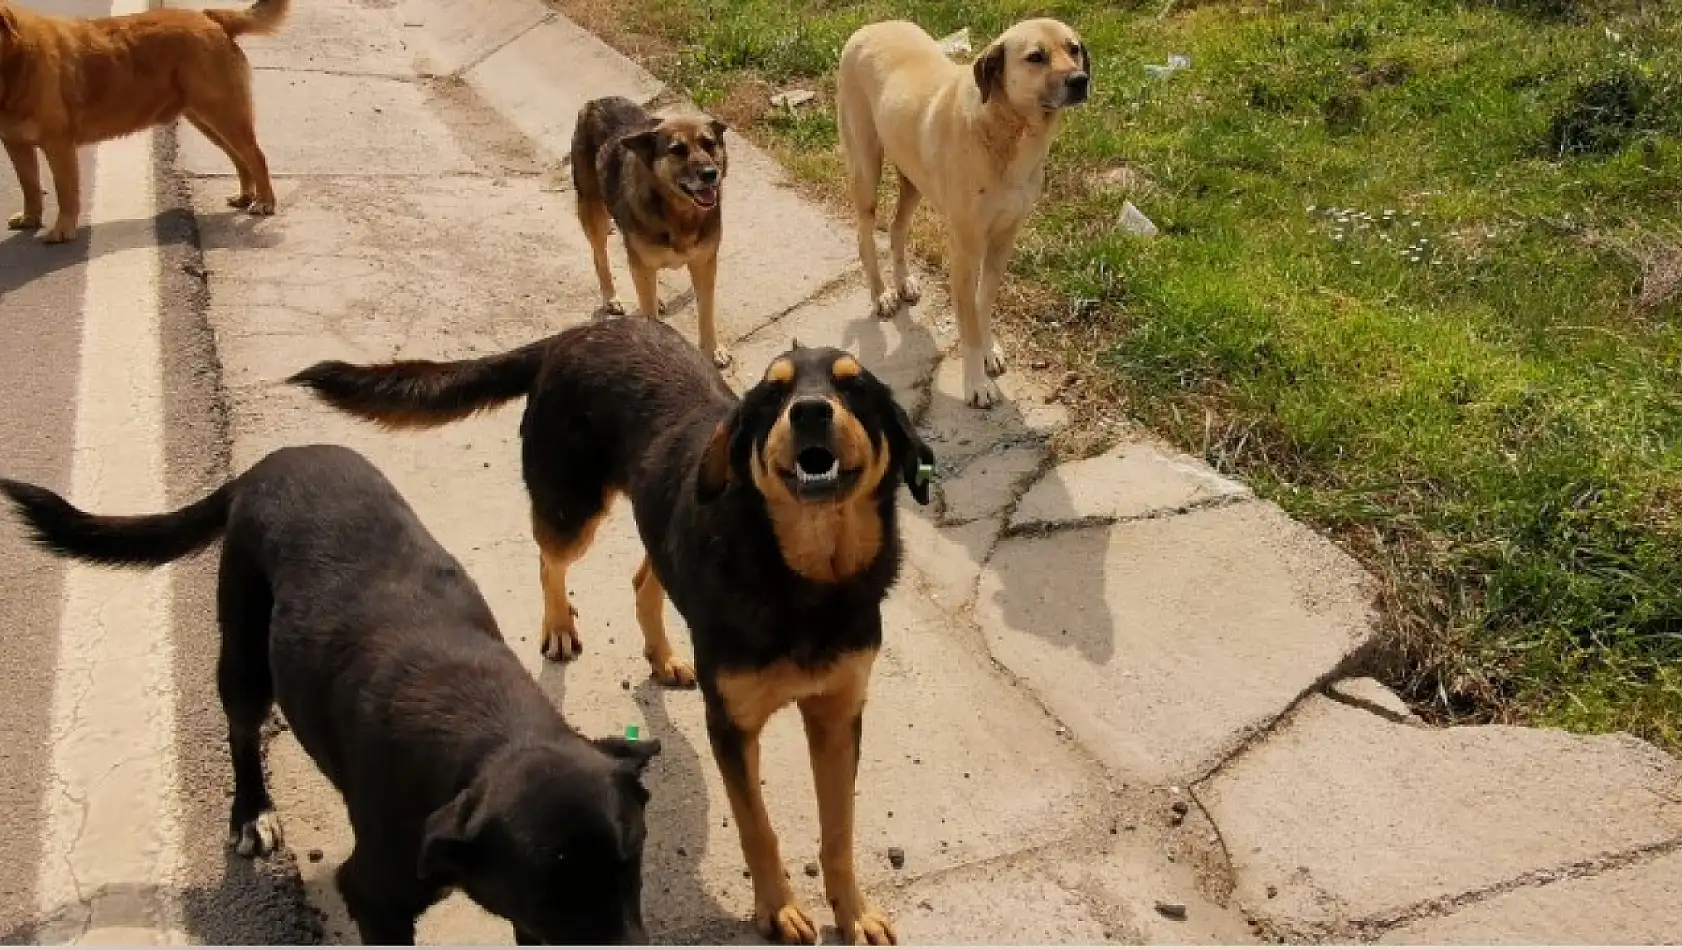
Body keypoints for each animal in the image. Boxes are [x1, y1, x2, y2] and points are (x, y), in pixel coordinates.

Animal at [0, 0, 284, 242]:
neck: (16, 63)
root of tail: (211, 18)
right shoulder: (16, 145)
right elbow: (29, 185)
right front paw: (30, 218)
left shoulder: (59, 146)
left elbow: (65, 192)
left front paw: (62, 229)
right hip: (208, 121)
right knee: (240, 159)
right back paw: (245, 196)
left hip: (224, 115)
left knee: (255, 156)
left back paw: (264, 201)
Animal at [0, 447, 666, 948]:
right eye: (550, 891)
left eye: (632, 861)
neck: (495, 738)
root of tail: (268, 463)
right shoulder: (375, 896)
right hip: (244, 658)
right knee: (241, 730)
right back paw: (252, 813)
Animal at [294, 316, 941, 941]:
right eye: (773, 394)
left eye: (854, 387)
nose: (809, 410)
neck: (807, 580)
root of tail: (578, 330)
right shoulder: (732, 726)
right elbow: (759, 829)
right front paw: (777, 908)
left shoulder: (838, 715)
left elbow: (840, 832)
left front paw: (853, 912)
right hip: (570, 510)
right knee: (549, 559)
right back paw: (558, 625)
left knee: (643, 576)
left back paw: (662, 653)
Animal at [568, 93, 733, 366]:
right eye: (677, 150)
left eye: (709, 144)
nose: (711, 174)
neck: (679, 214)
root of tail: (597, 101)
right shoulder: (642, 265)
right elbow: (649, 313)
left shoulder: (704, 265)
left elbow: (706, 312)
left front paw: (712, 350)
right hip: (593, 212)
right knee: (599, 256)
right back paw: (611, 298)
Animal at [837, 16, 1089, 405]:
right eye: (1036, 57)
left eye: (1073, 49)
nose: (1080, 80)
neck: (1006, 129)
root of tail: (870, 26)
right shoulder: (966, 251)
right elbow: (967, 322)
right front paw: (975, 384)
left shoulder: (1003, 239)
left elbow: (983, 303)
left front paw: (988, 350)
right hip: (866, 171)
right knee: (865, 234)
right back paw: (881, 293)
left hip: (913, 181)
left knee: (896, 227)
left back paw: (904, 281)